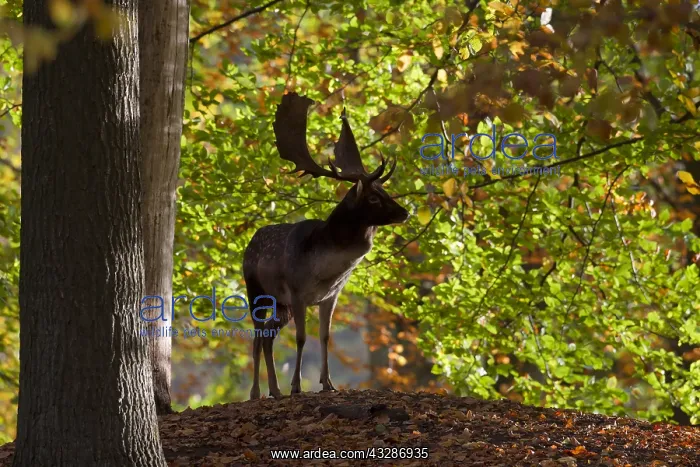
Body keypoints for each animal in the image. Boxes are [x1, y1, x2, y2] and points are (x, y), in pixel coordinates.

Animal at [243, 92, 409, 400]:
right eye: (373, 198)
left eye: (385, 190)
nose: (404, 212)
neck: (326, 270)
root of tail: (250, 242)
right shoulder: (297, 292)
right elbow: (301, 338)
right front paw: (297, 386)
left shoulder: (330, 296)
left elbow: (324, 336)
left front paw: (328, 383)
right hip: (256, 290)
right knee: (258, 335)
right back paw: (257, 392)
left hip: (280, 303)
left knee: (269, 336)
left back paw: (275, 390)